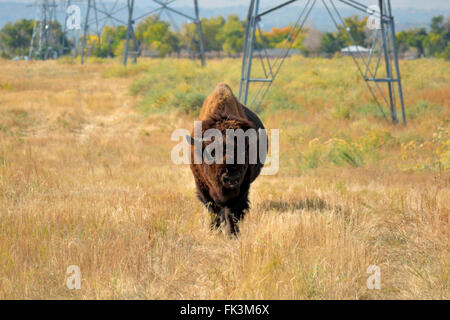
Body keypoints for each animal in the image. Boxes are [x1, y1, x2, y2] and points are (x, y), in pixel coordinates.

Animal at [186, 84, 268, 236]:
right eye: (212, 152)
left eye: (244, 151)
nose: (231, 177)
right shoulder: (203, 188)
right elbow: (213, 210)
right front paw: (214, 230)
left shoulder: (242, 188)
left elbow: (231, 211)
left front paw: (233, 234)